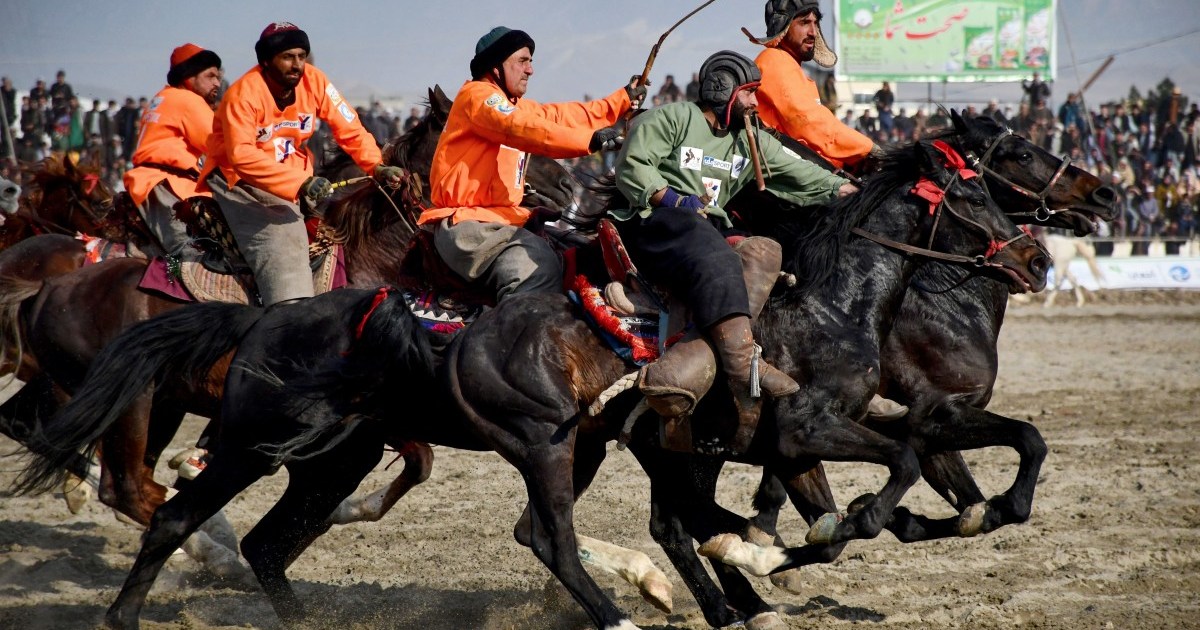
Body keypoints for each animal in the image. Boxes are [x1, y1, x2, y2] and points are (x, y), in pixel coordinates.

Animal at [18, 137, 1046, 628]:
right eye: (974, 192)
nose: (1034, 255)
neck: (834, 300)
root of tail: (261, 317)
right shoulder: (800, 433)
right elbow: (884, 479)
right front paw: (823, 539)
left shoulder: (802, 438)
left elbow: (985, 446)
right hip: (283, 443)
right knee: (174, 510)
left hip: (342, 458)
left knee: (267, 540)